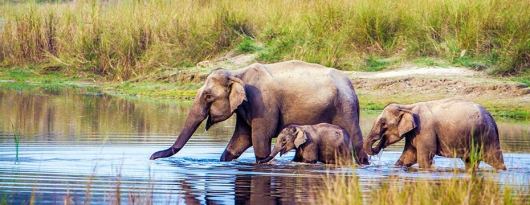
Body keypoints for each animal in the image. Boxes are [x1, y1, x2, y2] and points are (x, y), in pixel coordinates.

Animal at [148, 59, 368, 165]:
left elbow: (259, 138)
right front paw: (223, 161)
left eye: (208, 97)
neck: (237, 73)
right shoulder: (246, 107)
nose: (151, 157)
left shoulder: (263, 104)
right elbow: (240, 140)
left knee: (356, 141)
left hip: (346, 108)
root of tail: (350, 84)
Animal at [360, 98, 506, 170]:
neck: (407, 106)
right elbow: (409, 156)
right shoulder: (414, 133)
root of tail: (492, 118)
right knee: (470, 162)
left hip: (487, 136)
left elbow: (424, 158)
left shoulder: (425, 130)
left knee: (494, 158)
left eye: (383, 124)